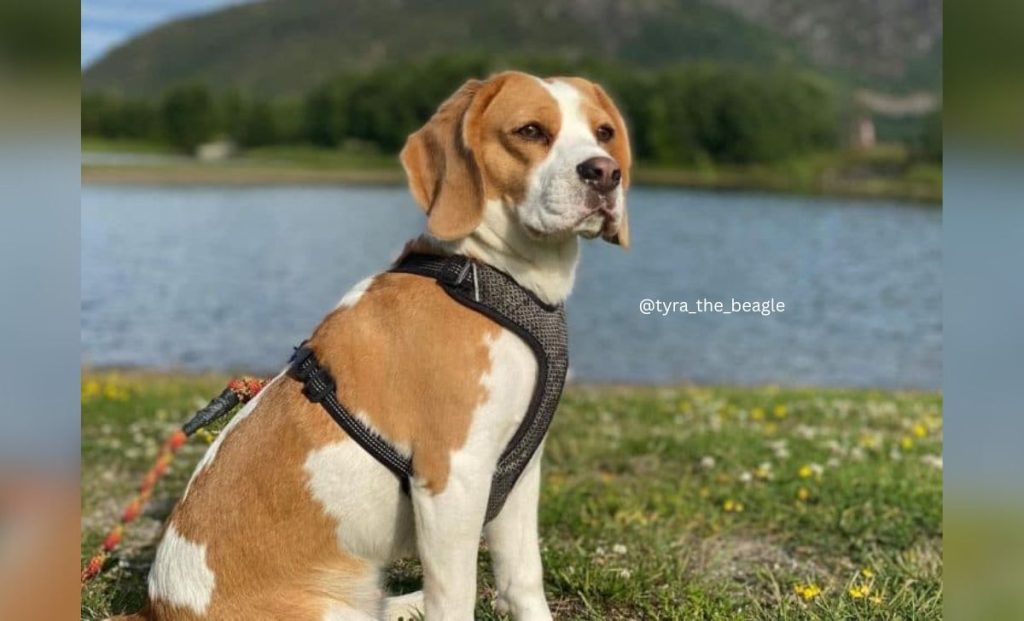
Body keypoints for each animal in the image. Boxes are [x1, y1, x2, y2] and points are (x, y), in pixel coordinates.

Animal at [119, 71, 630, 621]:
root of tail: (159, 604)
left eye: (603, 133)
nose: (605, 173)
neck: (489, 278)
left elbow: (524, 581)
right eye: (531, 130)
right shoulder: (452, 478)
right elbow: (456, 599)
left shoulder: (518, 470)